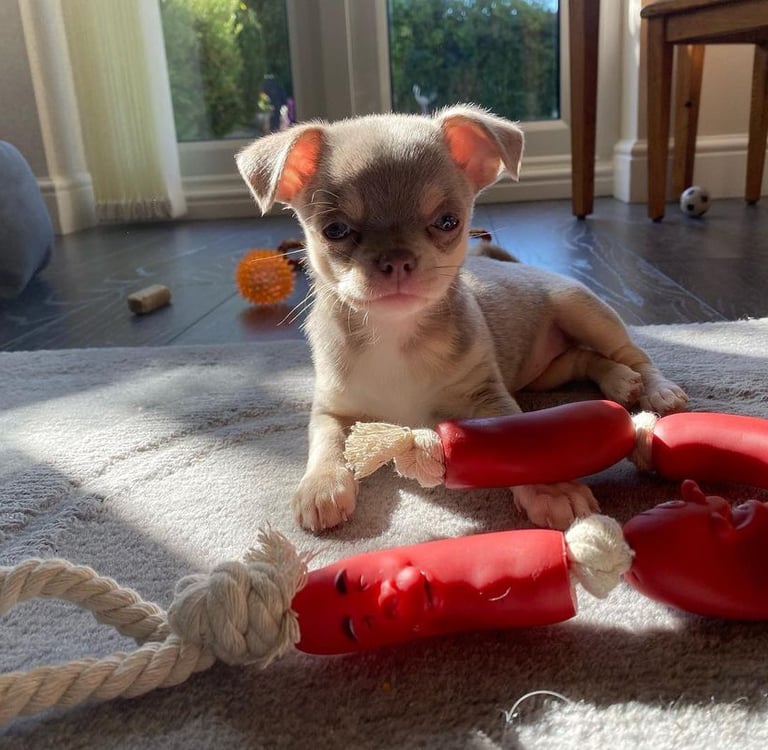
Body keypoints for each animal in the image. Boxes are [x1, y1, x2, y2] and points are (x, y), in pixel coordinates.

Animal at [236, 105, 688, 532]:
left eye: (447, 222)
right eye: (334, 230)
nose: (396, 260)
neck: (395, 334)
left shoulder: (486, 398)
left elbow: (519, 441)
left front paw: (551, 488)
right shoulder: (333, 408)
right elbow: (326, 441)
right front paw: (322, 484)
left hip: (581, 309)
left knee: (633, 353)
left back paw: (656, 389)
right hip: (545, 374)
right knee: (583, 358)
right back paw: (619, 380)